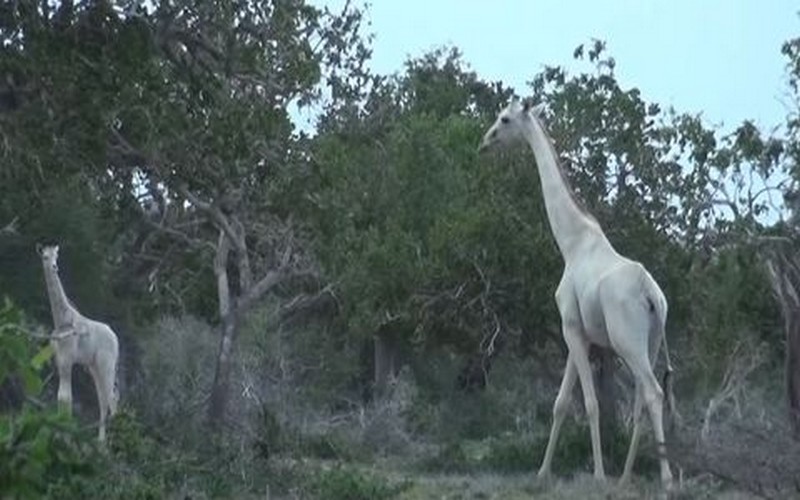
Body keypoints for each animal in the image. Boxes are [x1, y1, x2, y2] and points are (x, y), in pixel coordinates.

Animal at [38, 244, 119, 442]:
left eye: (56, 256)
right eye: (45, 257)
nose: (54, 267)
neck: (61, 320)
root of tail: (115, 337)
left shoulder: (68, 359)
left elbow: (66, 397)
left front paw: (64, 435)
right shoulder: (60, 360)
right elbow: (61, 397)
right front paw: (59, 432)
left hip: (107, 364)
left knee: (111, 397)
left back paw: (110, 441)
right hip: (94, 366)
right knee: (103, 400)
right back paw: (103, 442)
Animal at [478, 98, 675, 490]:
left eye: (504, 119)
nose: (485, 141)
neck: (572, 243)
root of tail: (651, 296)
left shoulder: (570, 327)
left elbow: (590, 403)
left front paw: (597, 476)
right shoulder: (576, 333)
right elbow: (560, 403)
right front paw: (542, 473)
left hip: (628, 342)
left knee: (652, 392)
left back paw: (666, 480)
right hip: (651, 342)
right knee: (642, 401)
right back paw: (626, 477)